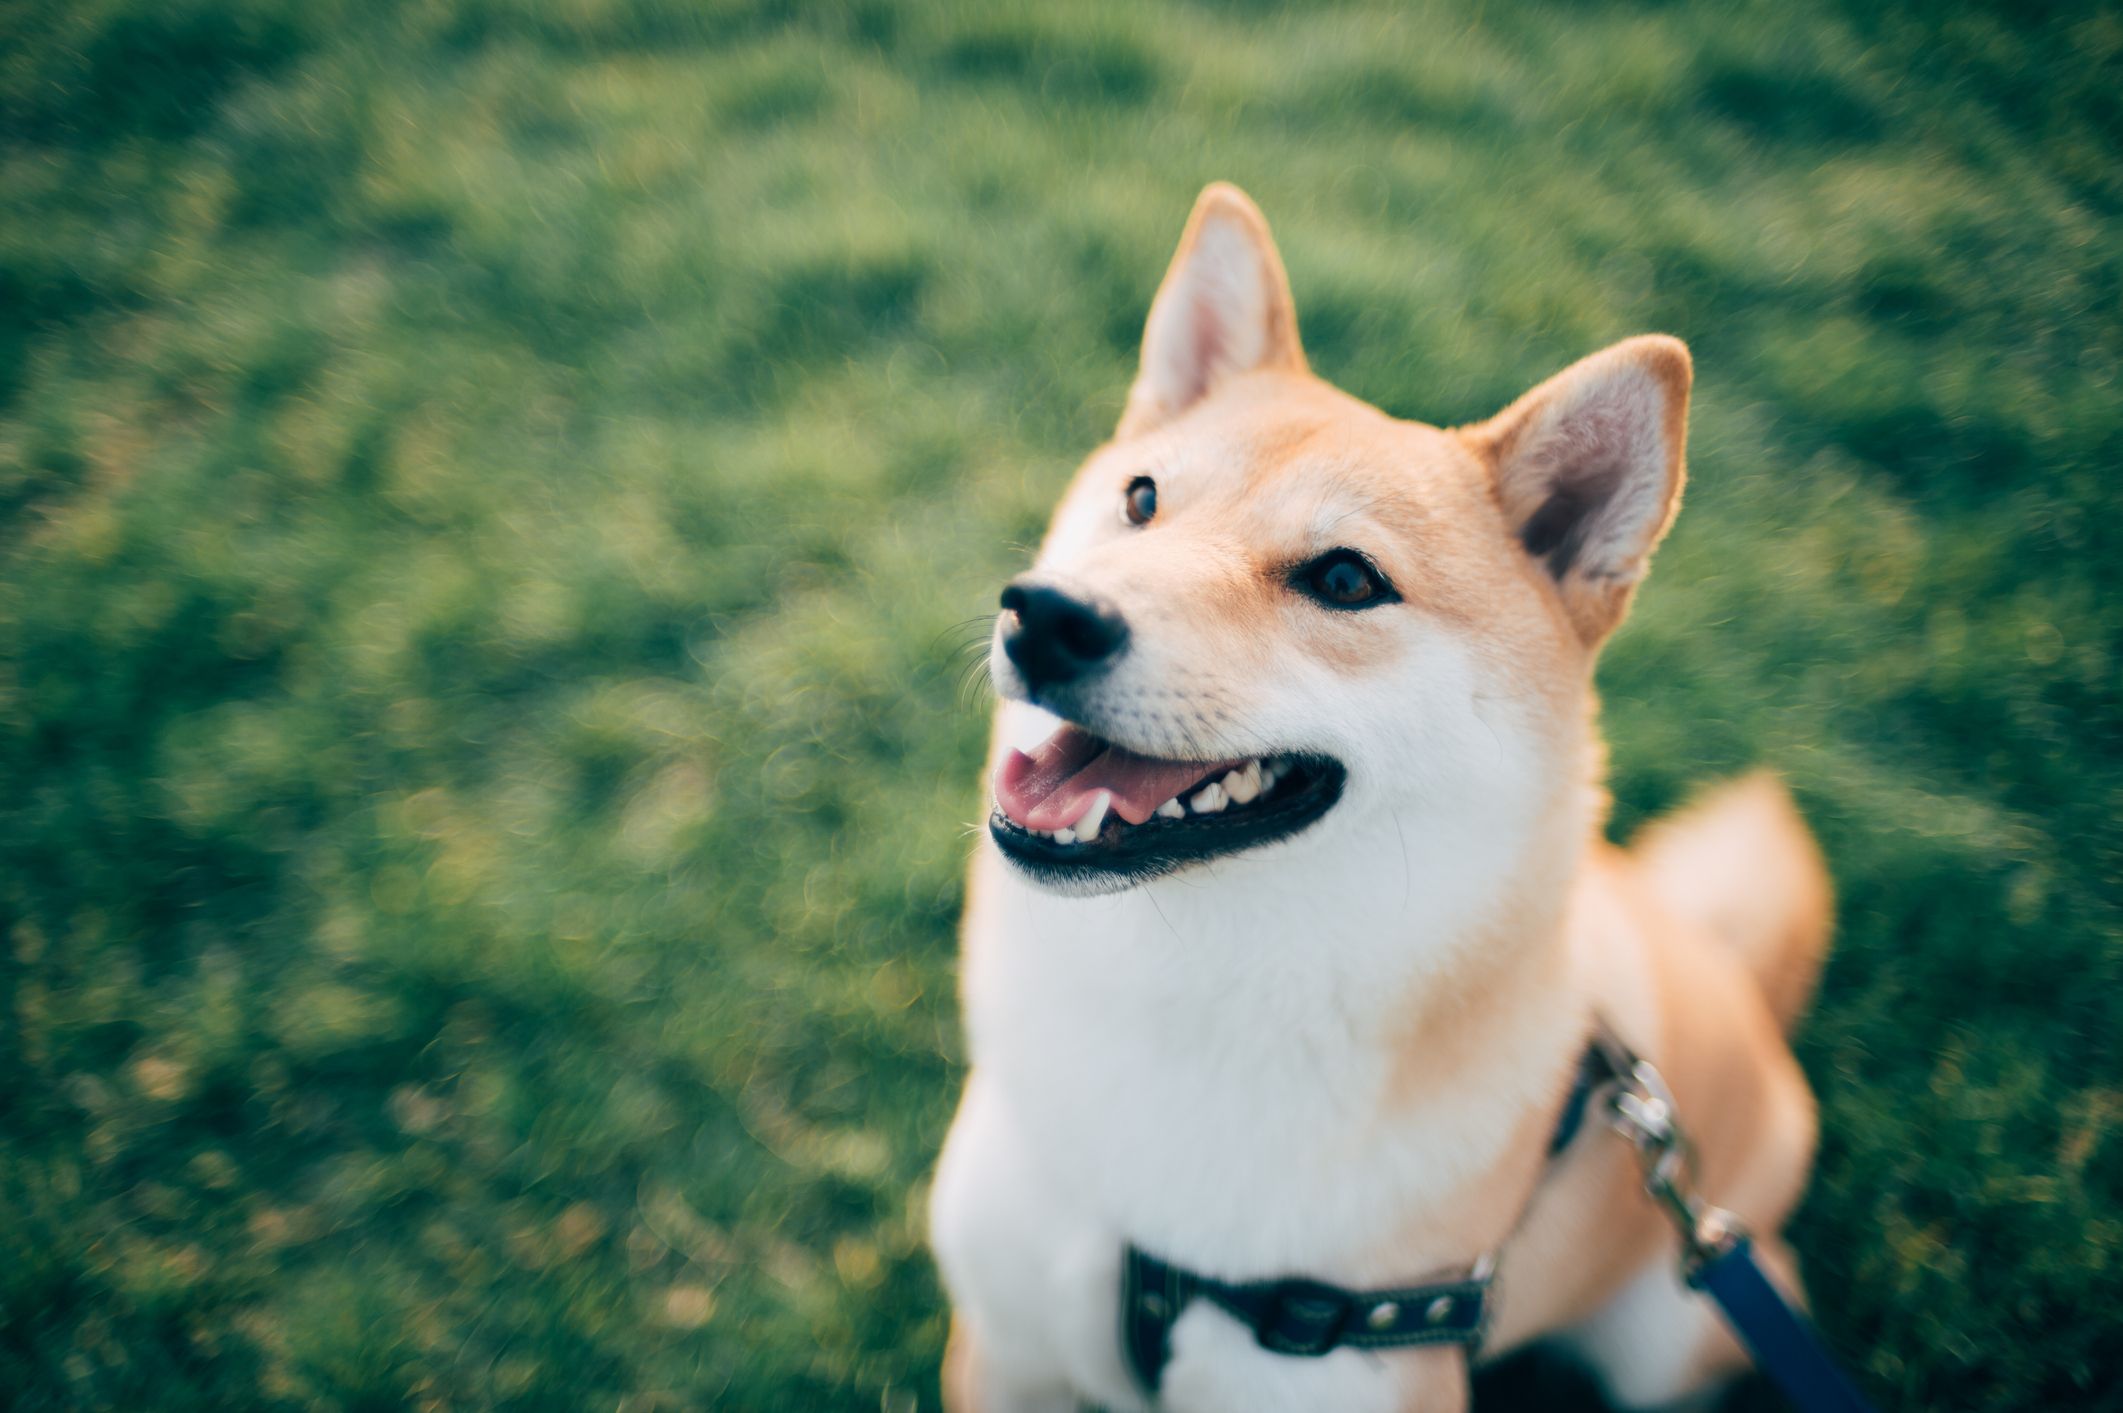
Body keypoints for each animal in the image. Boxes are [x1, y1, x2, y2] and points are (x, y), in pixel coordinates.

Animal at [938, 186, 1834, 1408]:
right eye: (1141, 500)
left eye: (1343, 579)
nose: (1046, 614)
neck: (1192, 995)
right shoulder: (1003, 1348)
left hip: (1677, 1330)